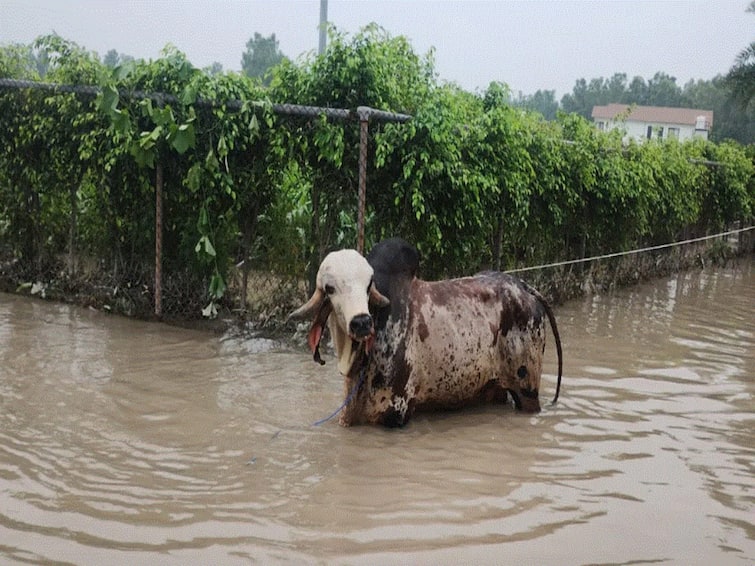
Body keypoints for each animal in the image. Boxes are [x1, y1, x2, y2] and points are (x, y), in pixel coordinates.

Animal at [290, 237, 560, 428]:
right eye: (330, 288)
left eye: (368, 286)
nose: (362, 323)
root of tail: (524, 287)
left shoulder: (396, 413)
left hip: (526, 388)